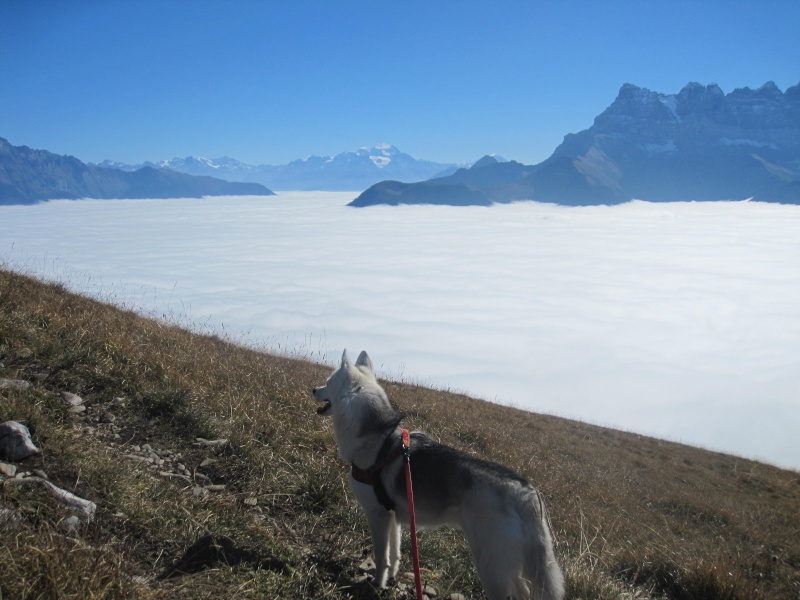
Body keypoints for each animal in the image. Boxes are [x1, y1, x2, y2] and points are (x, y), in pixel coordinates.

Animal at [310, 350, 564, 600]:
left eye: (328, 382)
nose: (313, 390)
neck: (377, 438)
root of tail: (525, 492)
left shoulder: (377, 515)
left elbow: (382, 558)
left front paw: (377, 584)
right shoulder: (393, 517)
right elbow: (394, 555)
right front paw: (391, 577)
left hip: (490, 566)